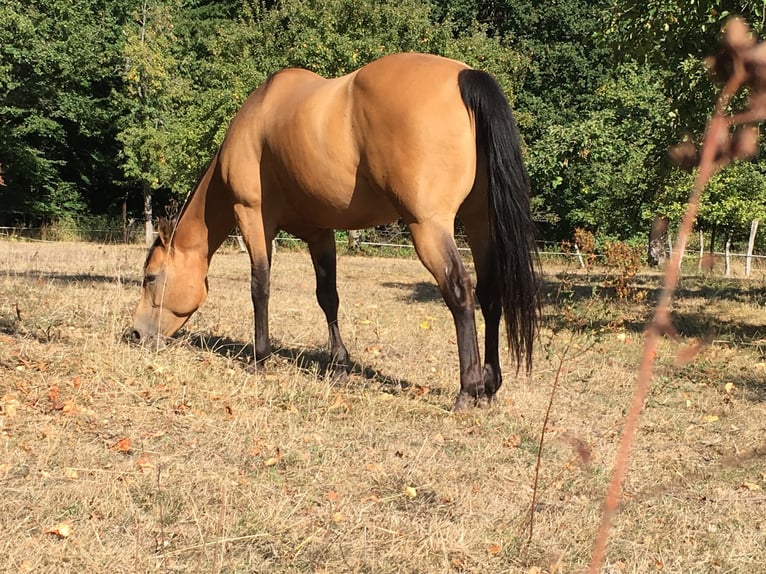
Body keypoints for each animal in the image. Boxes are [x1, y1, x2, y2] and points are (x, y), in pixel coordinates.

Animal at [130, 52, 540, 411]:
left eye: (150, 277)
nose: (136, 334)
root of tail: (463, 76)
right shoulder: (319, 232)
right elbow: (328, 296)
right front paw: (339, 366)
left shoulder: (253, 219)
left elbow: (259, 287)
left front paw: (261, 358)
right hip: (479, 222)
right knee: (489, 294)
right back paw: (489, 386)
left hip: (429, 227)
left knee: (459, 291)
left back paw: (468, 390)